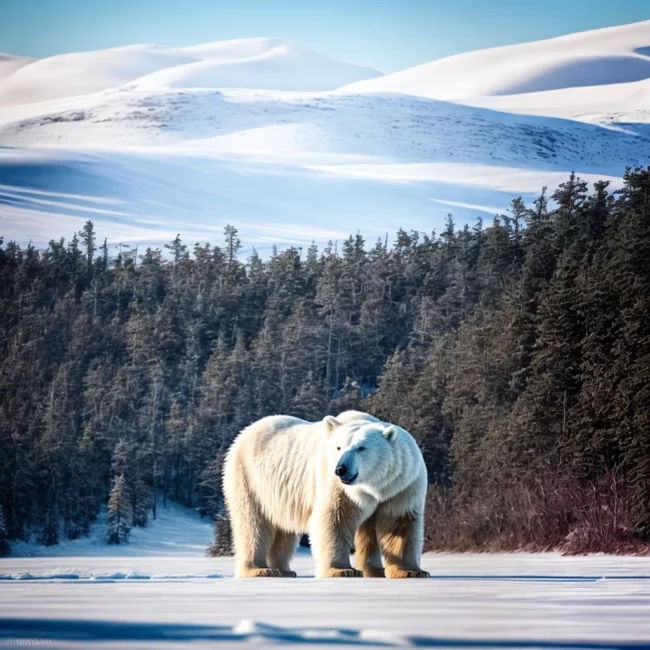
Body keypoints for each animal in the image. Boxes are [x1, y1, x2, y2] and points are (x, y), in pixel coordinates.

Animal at [222, 410, 429, 579]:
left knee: (283, 530)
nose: (341, 469)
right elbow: (334, 518)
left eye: (361, 447)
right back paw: (260, 570)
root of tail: (246, 431)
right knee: (253, 524)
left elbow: (400, 523)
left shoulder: (400, 487)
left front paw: (411, 571)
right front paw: (342, 570)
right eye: (338, 447)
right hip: (249, 479)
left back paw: (285, 570)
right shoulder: (336, 486)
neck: (374, 487)